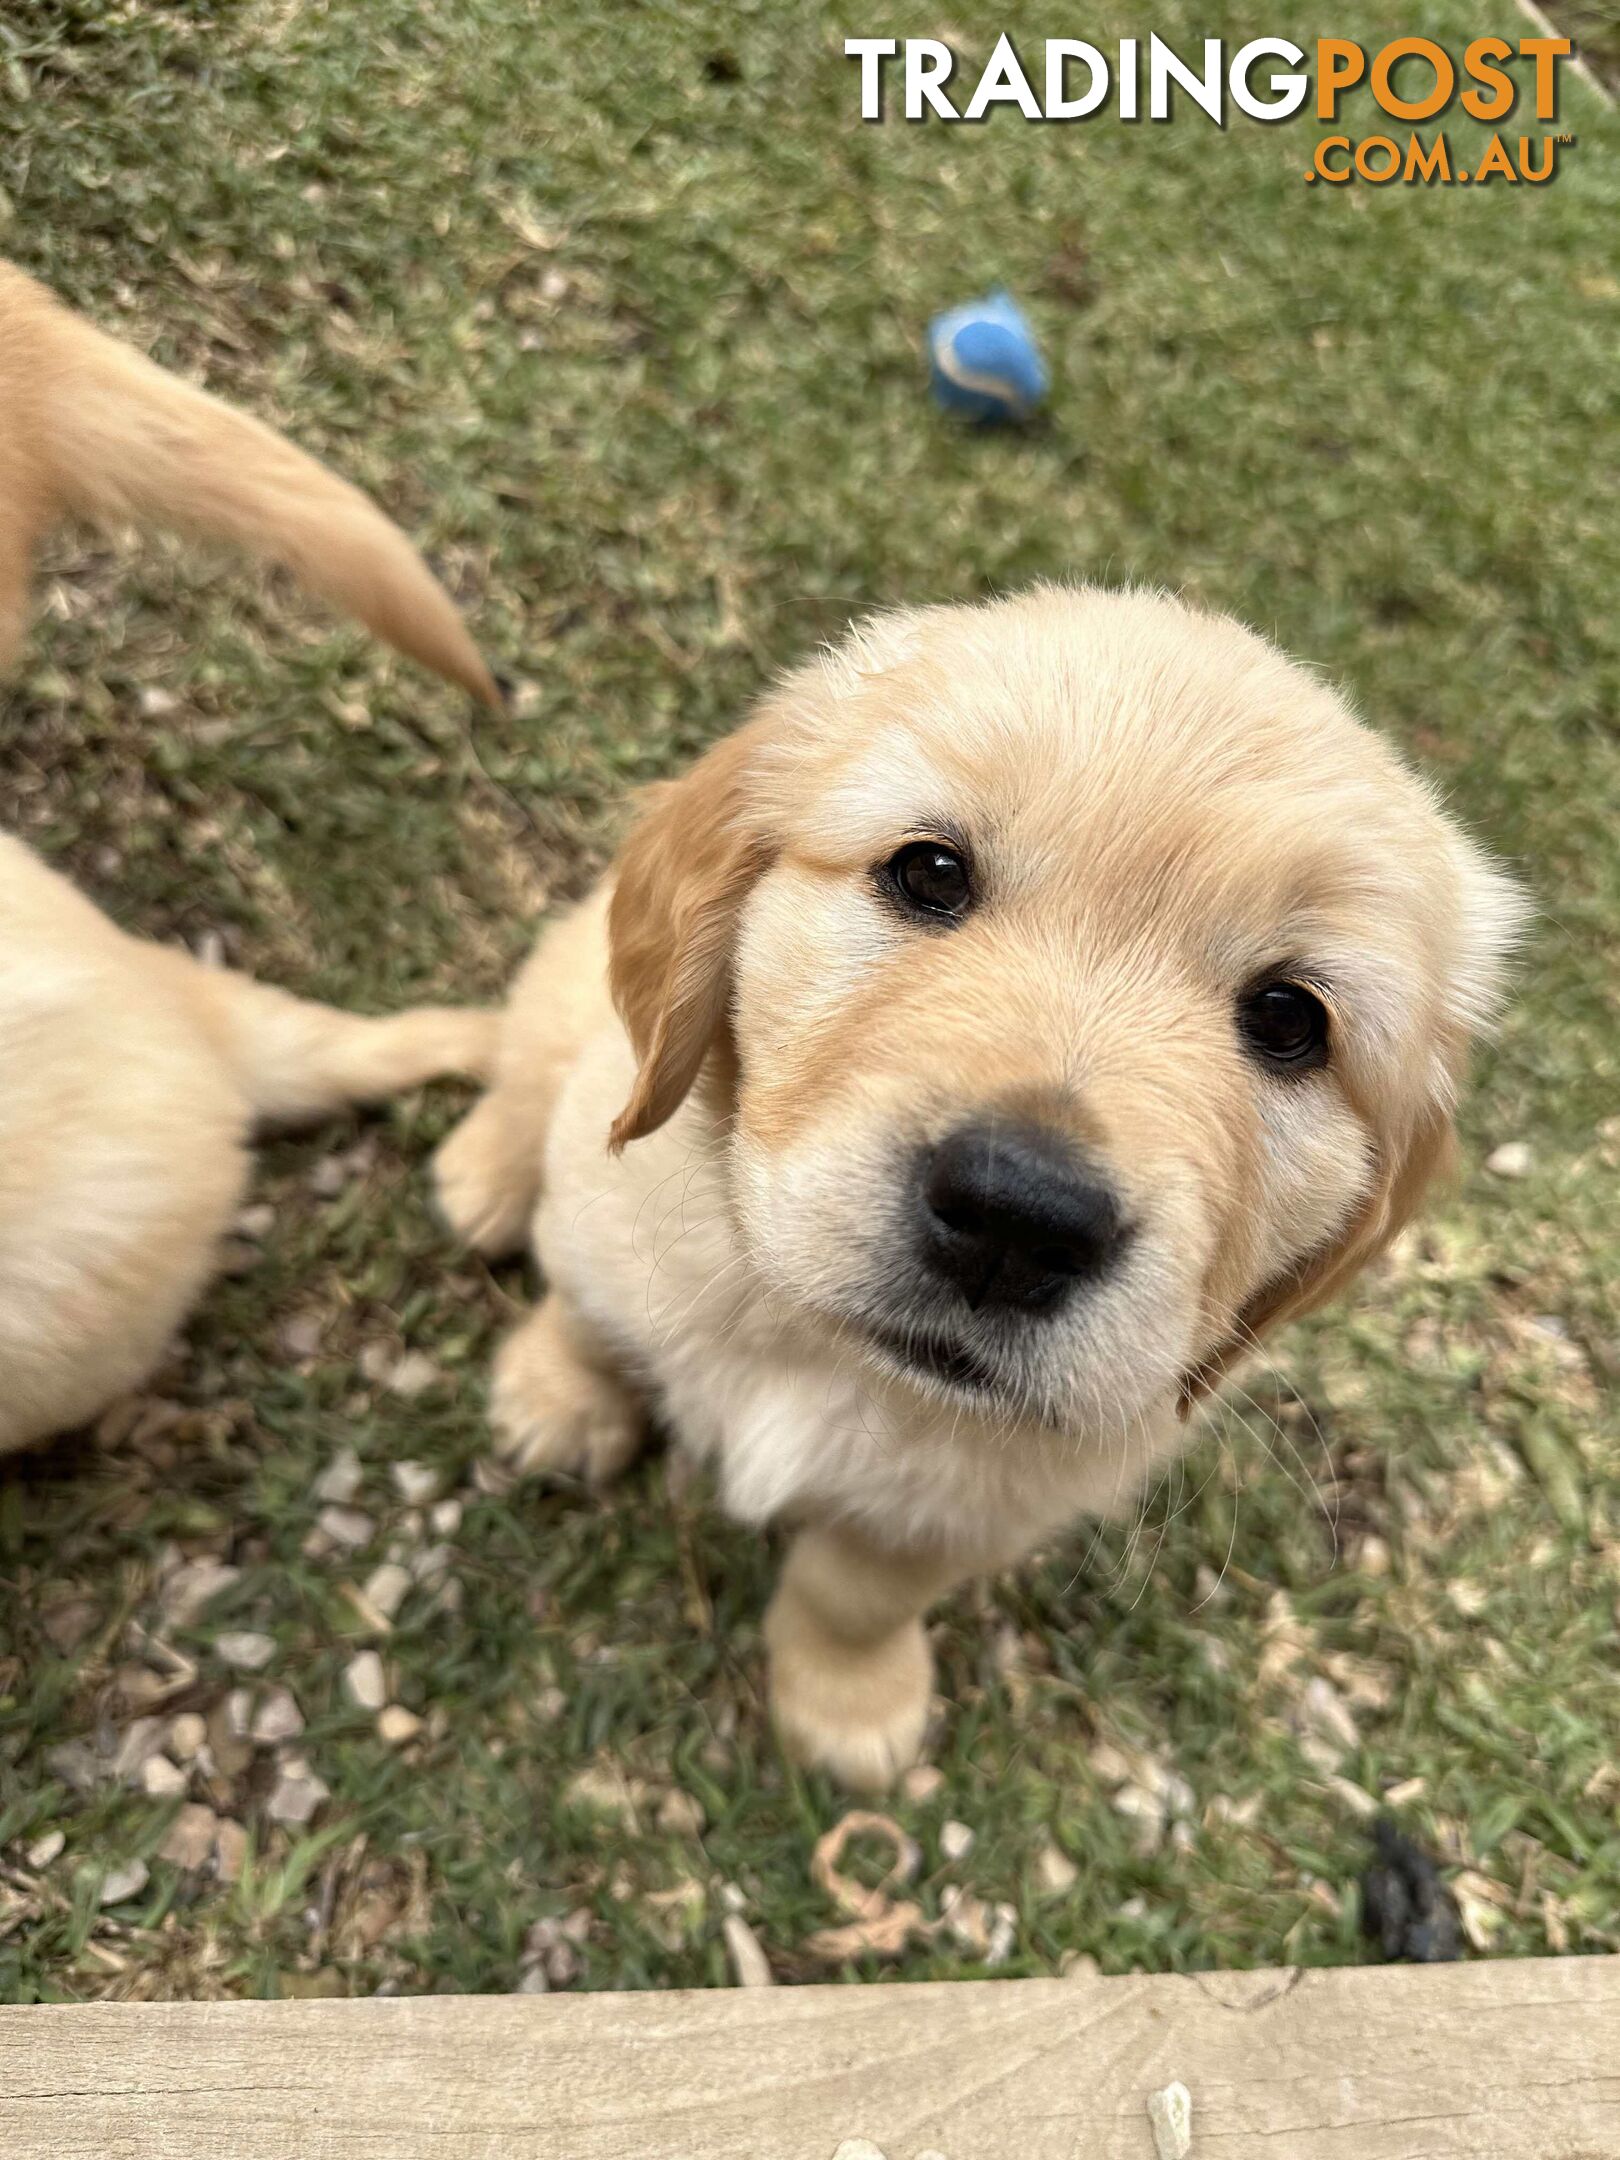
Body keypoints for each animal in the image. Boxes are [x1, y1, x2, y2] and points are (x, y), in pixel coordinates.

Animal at [438, 587, 1529, 1788]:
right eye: (931, 872)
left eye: (1290, 1019)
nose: (1021, 1219)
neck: (832, 1357)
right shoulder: (609, 1218)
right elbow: (591, 1315)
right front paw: (558, 1397)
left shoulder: (976, 1506)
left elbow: (857, 1591)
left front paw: (849, 1702)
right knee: (523, 1065)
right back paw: (480, 1174)